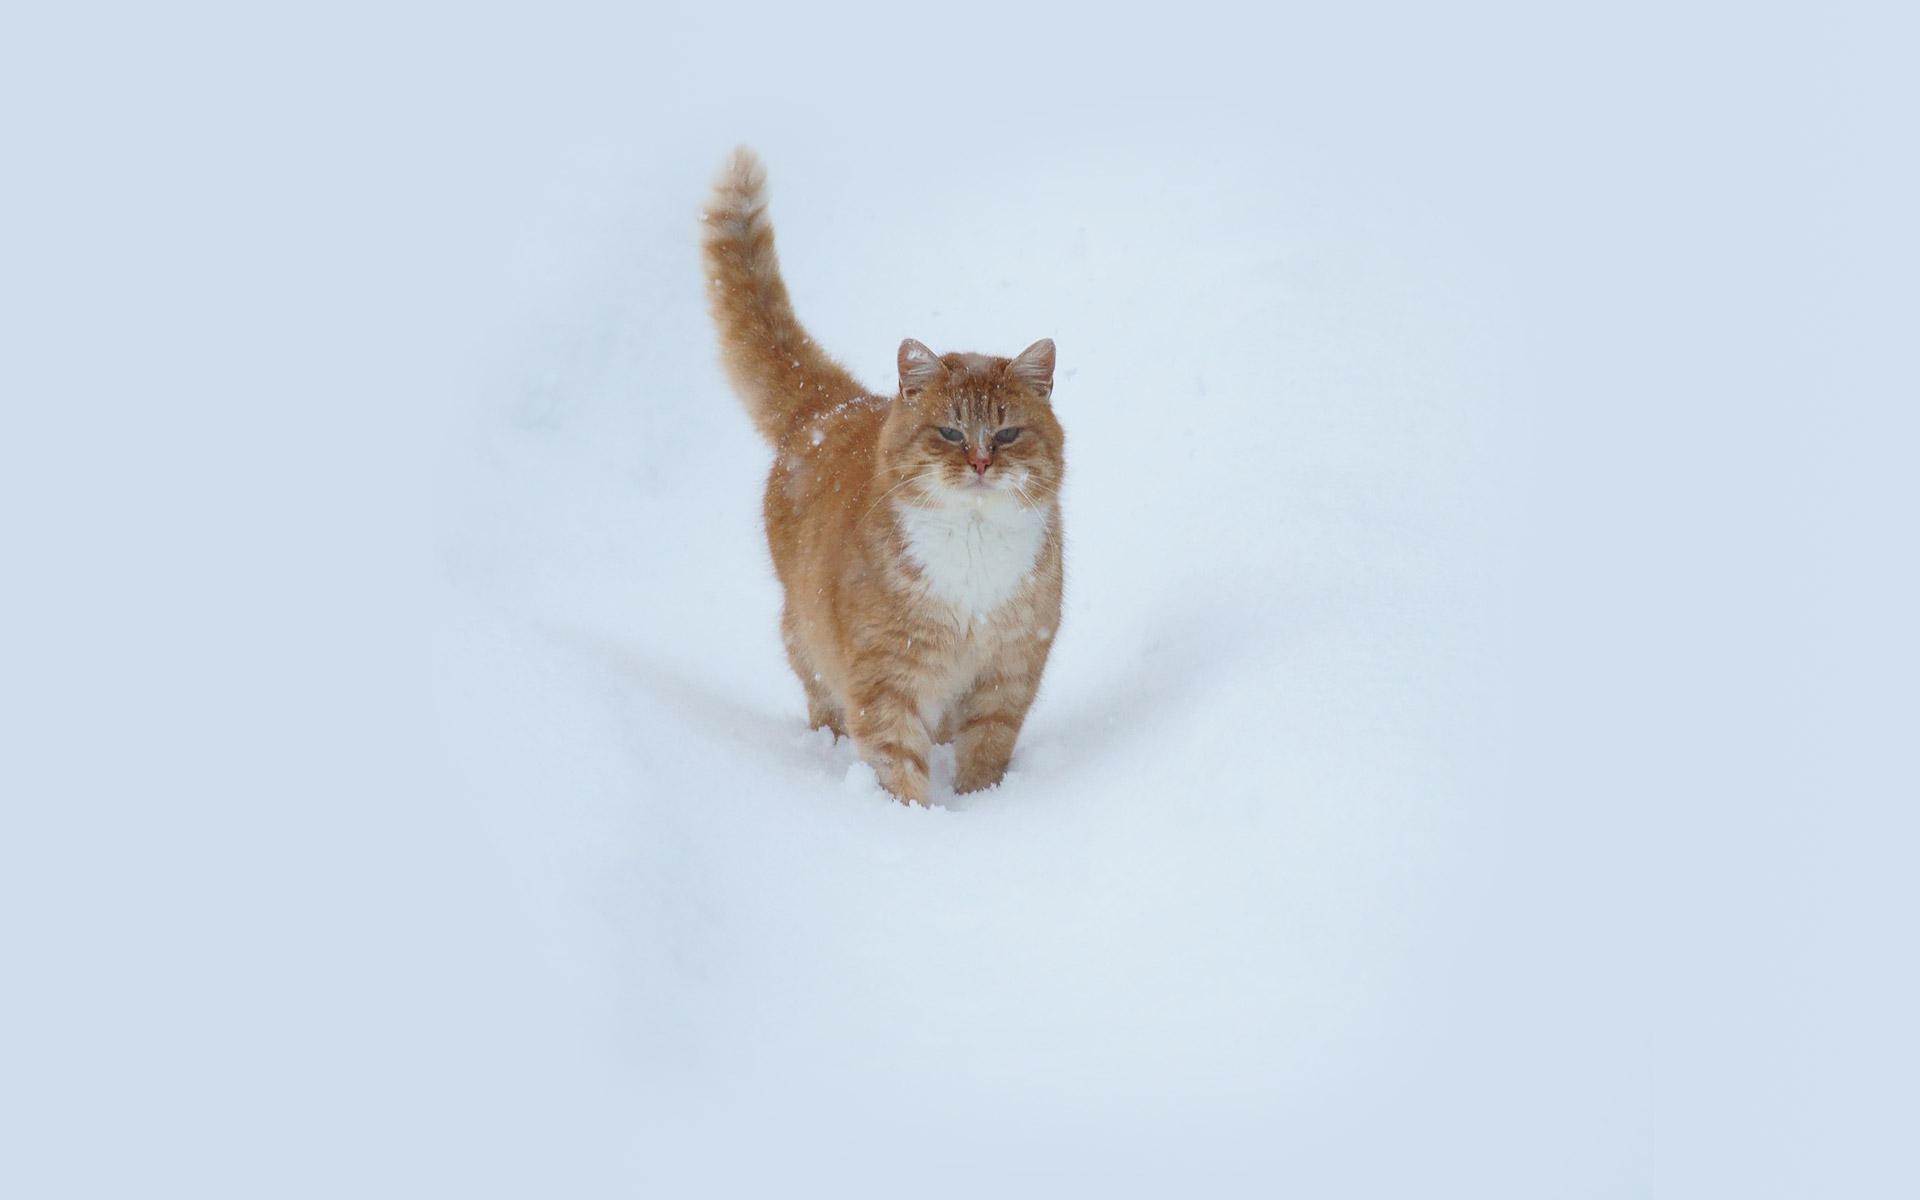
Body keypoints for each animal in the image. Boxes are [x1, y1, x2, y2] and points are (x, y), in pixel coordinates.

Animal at [701, 147, 1066, 806]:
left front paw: (980, 806)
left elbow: (986, 749)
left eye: (1005, 435)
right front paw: (912, 819)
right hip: (807, 637)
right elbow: (896, 758)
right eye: (950, 432)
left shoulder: (1008, 671)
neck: (973, 550)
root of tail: (831, 404)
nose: (980, 462)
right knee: (823, 696)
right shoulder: (885, 675)